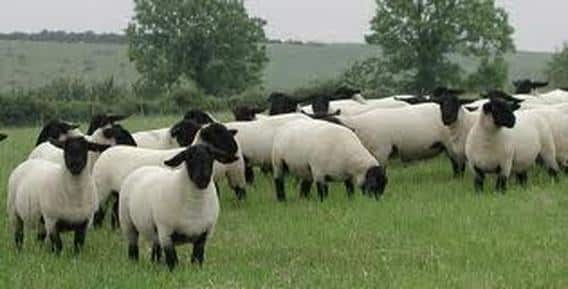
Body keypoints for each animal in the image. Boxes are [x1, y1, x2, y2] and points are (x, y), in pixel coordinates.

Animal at [90, 121, 240, 227]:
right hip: (102, 189)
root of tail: (107, 152)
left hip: (118, 192)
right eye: (216, 134)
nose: (235, 148)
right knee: (99, 212)